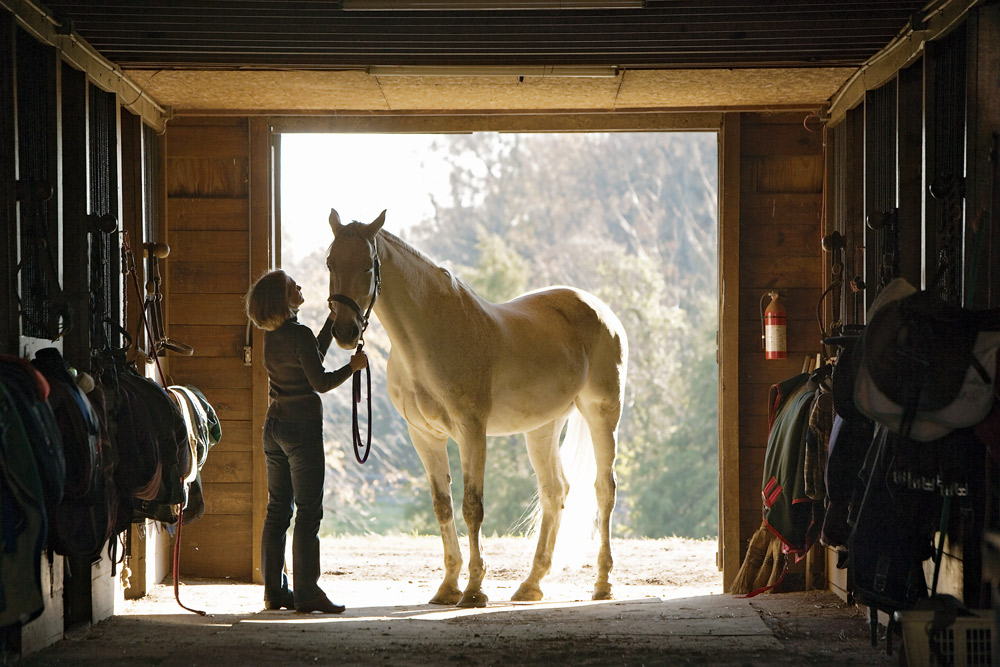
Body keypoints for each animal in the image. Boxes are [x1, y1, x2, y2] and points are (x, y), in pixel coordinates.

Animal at [326, 210, 624, 612]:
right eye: (330, 262)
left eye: (367, 267)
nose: (344, 332)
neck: (430, 337)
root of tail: (600, 310)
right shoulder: (424, 436)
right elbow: (442, 506)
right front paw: (448, 587)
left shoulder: (472, 431)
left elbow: (472, 506)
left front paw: (473, 590)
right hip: (542, 427)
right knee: (554, 492)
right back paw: (531, 585)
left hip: (602, 413)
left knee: (604, 490)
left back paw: (603, 583)